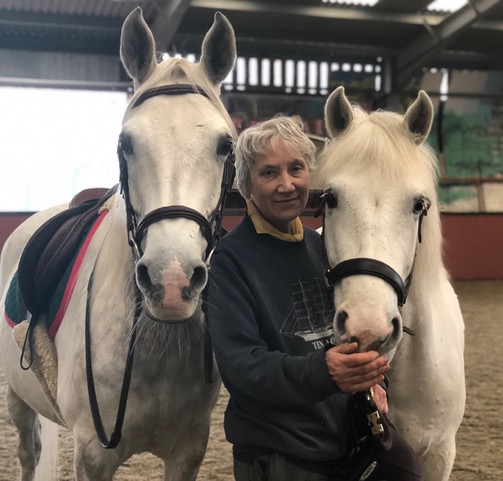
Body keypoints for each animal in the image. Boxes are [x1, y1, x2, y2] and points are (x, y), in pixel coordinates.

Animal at [0, 7, 236, 480]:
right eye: (125, 143)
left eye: (224, 145)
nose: (170, 283)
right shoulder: (93, 455)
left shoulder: (188, 452)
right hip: (17, 399)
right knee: (27, 453)